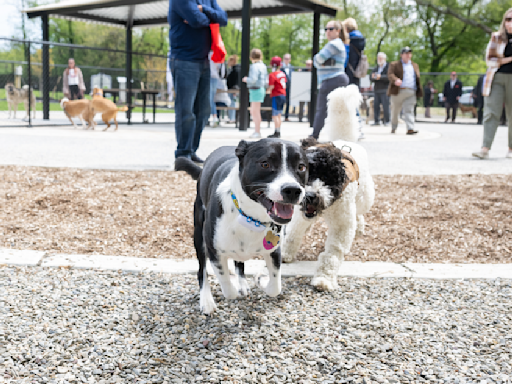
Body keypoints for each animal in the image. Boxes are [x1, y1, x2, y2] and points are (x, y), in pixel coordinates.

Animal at [174, 140, 308, 314]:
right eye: (265, 164)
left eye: (301, 167)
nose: (292, 190)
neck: (252, 218)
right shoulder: (214, 250)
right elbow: (227, 288)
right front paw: (232, 286)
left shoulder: (274, 250)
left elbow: (275, 287)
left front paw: (261, 280)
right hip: (198, 234)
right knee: (201, 271)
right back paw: (207, 300)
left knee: (239, 262)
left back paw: (243, 284)